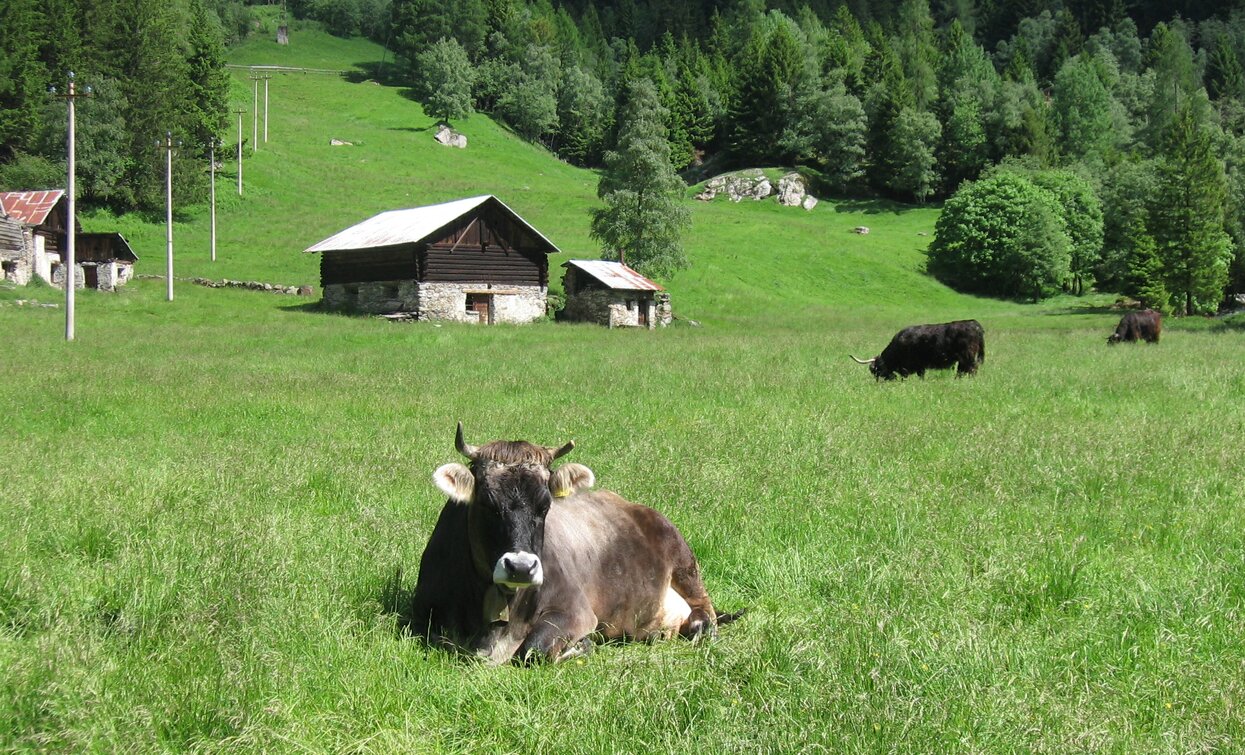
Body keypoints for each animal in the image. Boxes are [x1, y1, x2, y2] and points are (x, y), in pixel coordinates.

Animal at [405, 423, 727, 667]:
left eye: (545, 505)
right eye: (486, 503)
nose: (520, 567)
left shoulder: (576, 610)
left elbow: (534, 649)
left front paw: (581, 646)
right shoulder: (423, 616)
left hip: (686, 564)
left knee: (705, 610)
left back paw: (700, 627)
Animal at [851, 318, 986, 381]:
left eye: (876, 371)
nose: (879, 382)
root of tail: (974, 324)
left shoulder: (909, 366)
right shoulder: (920, 366)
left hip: (967, 356)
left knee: (971, 369)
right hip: (963, 358)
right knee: (962, 370)